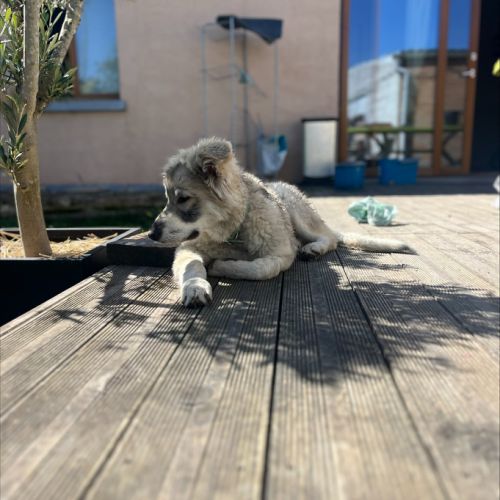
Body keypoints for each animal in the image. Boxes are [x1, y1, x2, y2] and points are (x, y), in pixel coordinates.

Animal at [149, 137, 413, 307]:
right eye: (167, 199)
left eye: (183, 199)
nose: (151, 234)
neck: (234, 232)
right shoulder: (187, 248)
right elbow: (192, 265)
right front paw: (195, 287)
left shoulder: (283, 253)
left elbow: (259, 268)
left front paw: (223, 266)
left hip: (297, 214)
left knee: (329, 237)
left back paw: (314, 248)